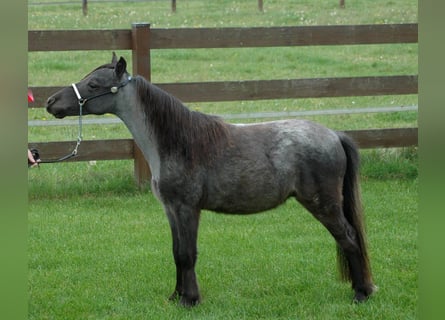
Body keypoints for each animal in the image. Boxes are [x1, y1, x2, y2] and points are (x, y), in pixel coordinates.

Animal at [46, 53, 374, 306]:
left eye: (93, 84)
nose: (50, 102)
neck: (177, 142)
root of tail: (334, 135)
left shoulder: (187, 208)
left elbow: (188, 254)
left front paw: (190, 299)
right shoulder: (171, 210)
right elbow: (177, 253)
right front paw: (176, 296)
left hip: (324, 205)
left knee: (349, 238)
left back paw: (361, 293)